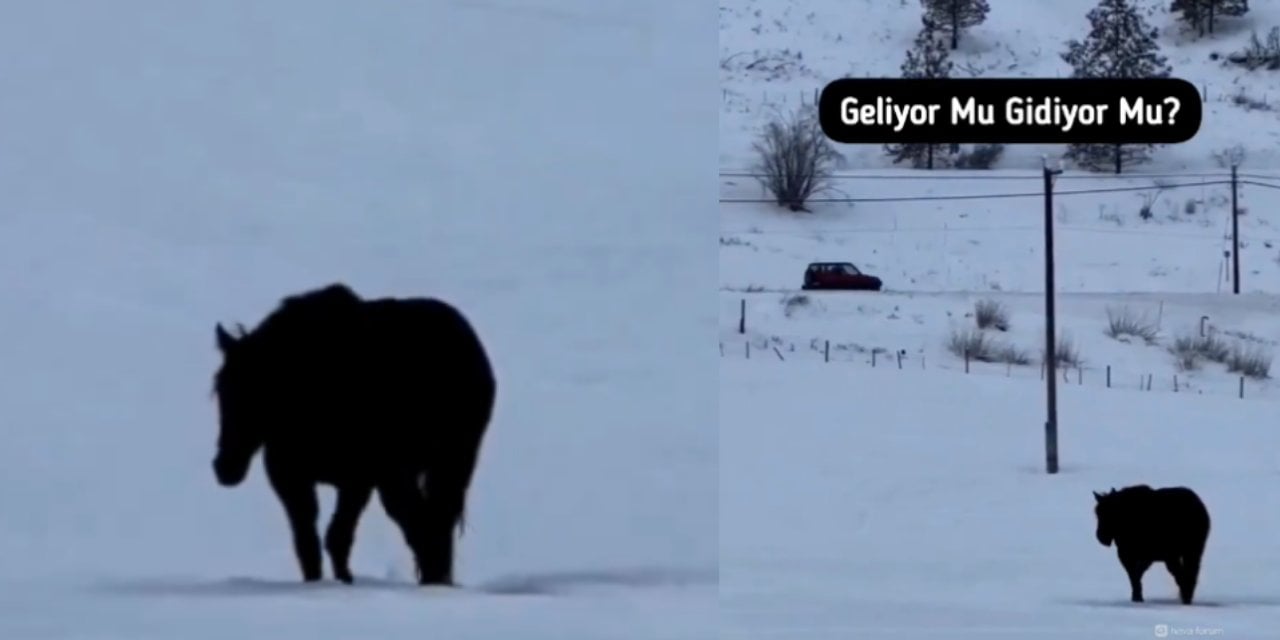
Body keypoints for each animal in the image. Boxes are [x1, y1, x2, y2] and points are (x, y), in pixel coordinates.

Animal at [209, 284, 494, 586]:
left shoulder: (358, 480)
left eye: (256, 393)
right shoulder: (291, 478)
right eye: (221, 392)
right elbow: (308, 543)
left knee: (428, 523)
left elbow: (338, 537)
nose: (225, 467)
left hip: (447, 462)